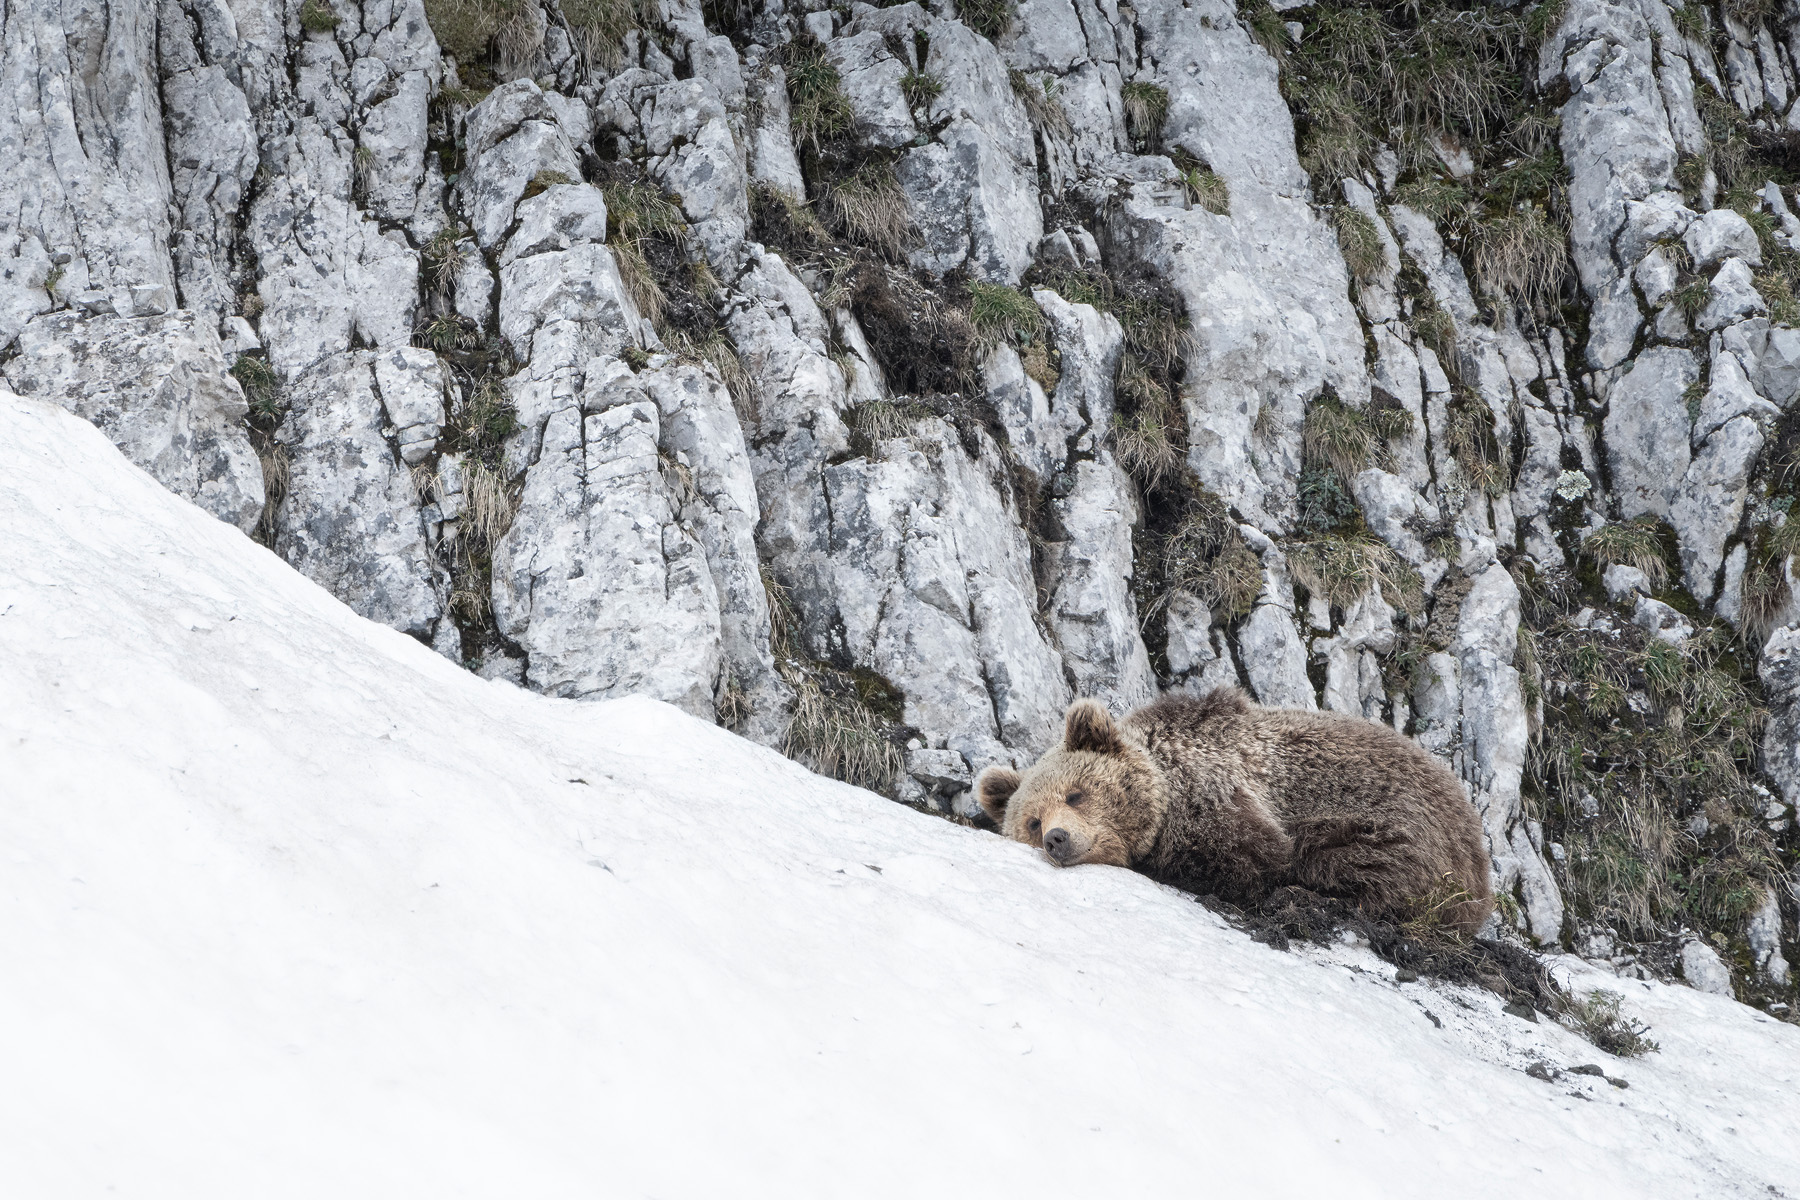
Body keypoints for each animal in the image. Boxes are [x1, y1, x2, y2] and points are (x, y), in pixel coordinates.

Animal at [975, 686, 1495, 934]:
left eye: (1075, 794)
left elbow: (1250, 858)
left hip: (1401, 830)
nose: (1056, 838)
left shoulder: (1219, 794)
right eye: (1032, 821)